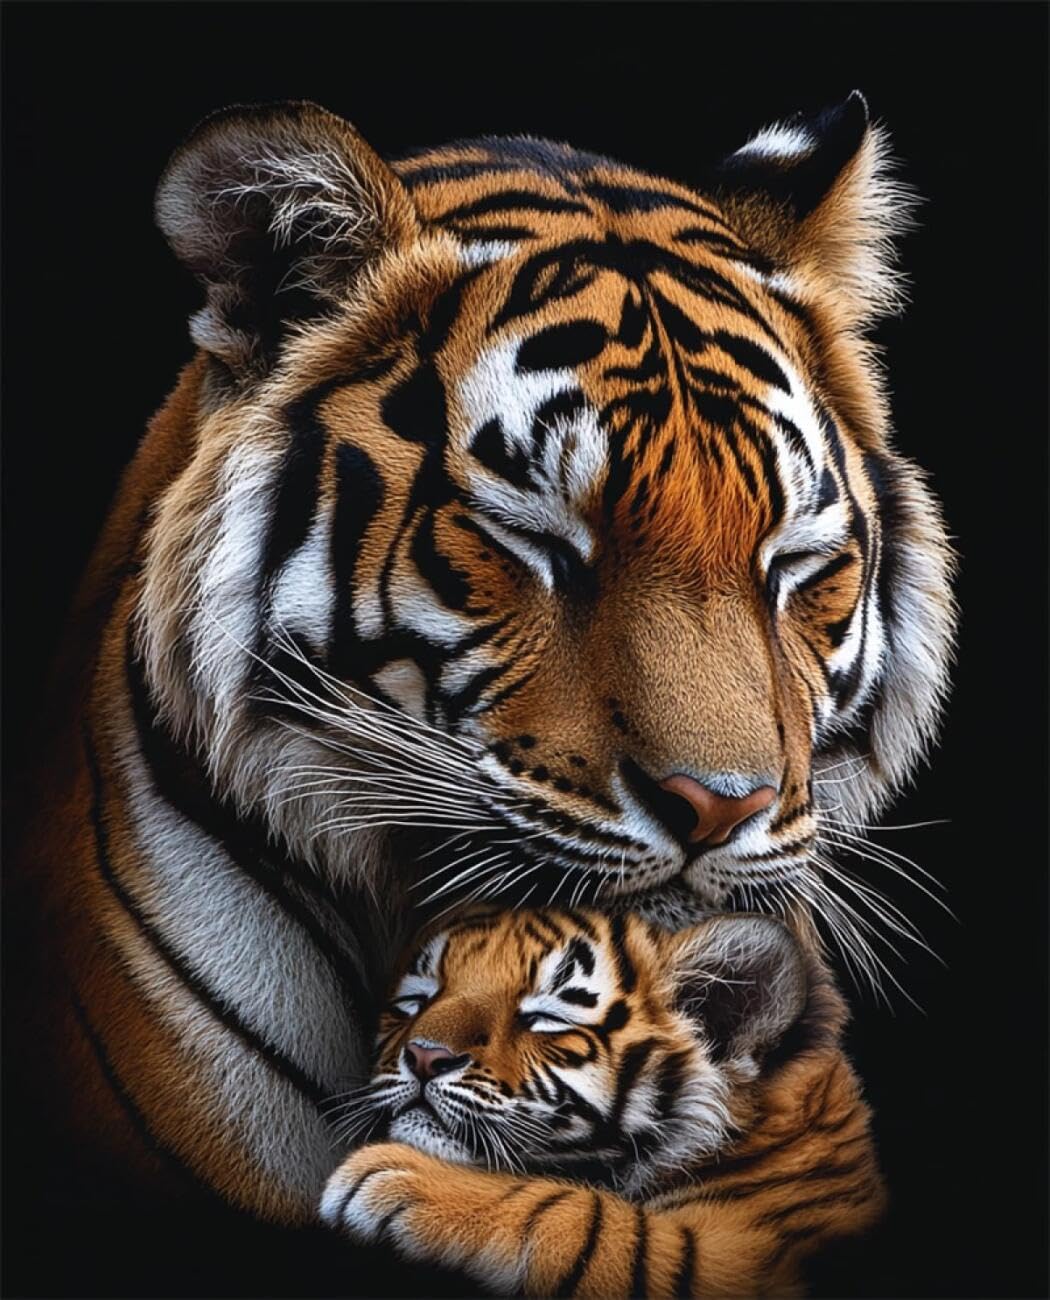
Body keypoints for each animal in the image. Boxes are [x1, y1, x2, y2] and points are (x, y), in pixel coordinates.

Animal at [322, 905, 885, 1297]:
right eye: (414, 1001)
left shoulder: (740, 1255)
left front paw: (395, 1174)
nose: (424, 1056)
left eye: (544, 1018)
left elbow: (583, 1215)